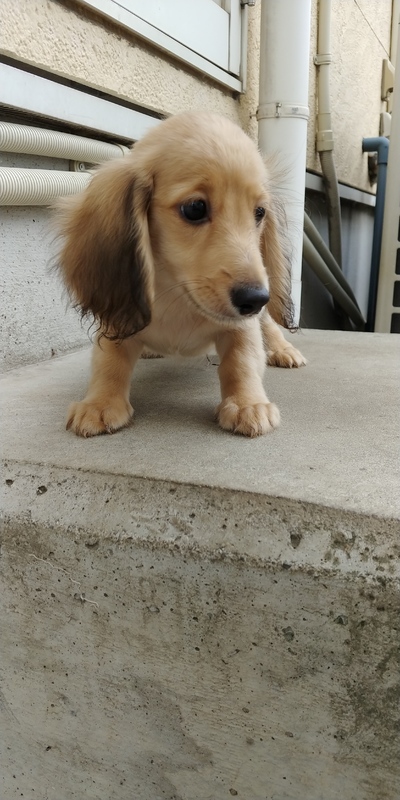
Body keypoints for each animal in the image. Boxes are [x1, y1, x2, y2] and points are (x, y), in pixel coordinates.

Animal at [56, 112, 306, 438]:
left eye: (260, 212)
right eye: (195, 208)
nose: (255, 299)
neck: (178, 295)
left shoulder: (242, 326)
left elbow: (241, 360)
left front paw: (247, 404)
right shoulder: (119, 314)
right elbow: (109, 360)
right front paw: (99, 403)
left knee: (271, 326)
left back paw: (283, 350)